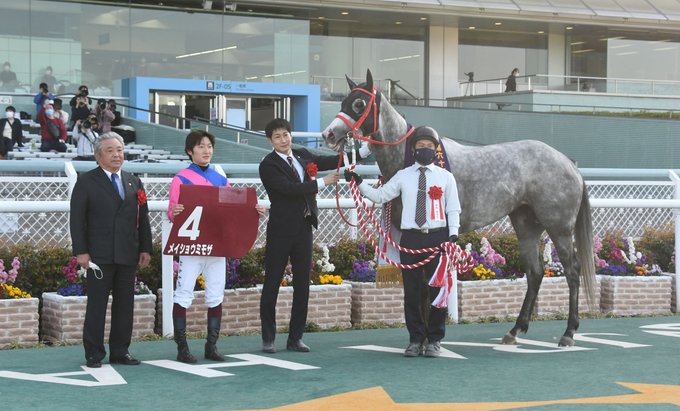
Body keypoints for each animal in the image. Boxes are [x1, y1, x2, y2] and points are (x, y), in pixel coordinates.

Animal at [322, 69, 596, 347]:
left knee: (572, 272)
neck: (414, 159)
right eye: (344, 102)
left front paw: (428, 340)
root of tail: (569, 164)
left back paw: (568, 333)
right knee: (535, 272)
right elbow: (420, 289)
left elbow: (429, 287)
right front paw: (421, 340)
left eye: (359, 104)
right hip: (526, 224)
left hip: (559, 227)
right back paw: (515, 330)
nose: (329, 135)